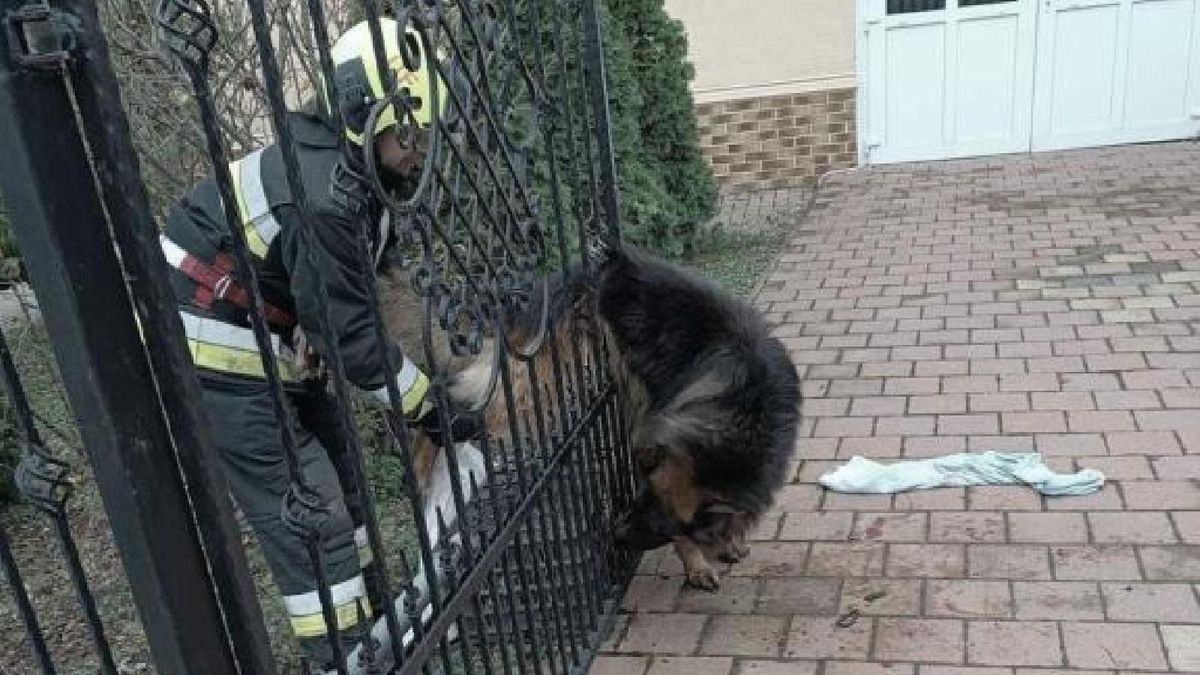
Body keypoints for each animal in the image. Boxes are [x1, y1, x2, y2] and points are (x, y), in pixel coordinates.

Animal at [398, 241, 801, 588]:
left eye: (665, 519)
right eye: (647, 494)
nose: (618, 534)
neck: (743, 410)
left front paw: (725, 544)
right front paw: (697, 564)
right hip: (536, 393)